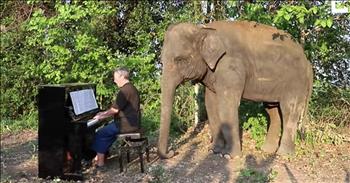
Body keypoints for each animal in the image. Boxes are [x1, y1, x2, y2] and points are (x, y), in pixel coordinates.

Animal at [157, 20, 314, 159]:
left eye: (180, 60)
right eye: (161, 61)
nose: (172, 152)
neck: (204, 29)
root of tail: (308, 62)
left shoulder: (230, 66)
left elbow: (227, 104)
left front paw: (229, 156)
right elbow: (211, 104)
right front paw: (214, 151)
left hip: (295, 81)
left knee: (289, 110)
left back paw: (283, 155)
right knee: (273, 110)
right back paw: (267, 150)